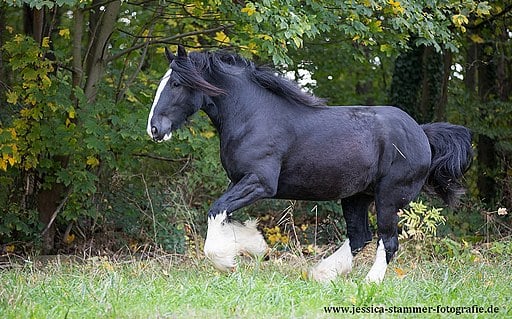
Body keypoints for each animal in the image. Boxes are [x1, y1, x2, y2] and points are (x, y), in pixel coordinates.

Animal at [147, 45, 472, 282]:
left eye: (176, 83)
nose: (154, 129)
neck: (253, 116)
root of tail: (421, 133)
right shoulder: (238, 181)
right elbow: (225, 214)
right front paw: (256, 247)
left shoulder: (260, 182)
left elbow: (216, 211)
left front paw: (227, 262)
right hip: (356, 196)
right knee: (360, 237)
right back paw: (322, 273)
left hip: (388, 197)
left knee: (387, 241)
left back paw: (370, 282)